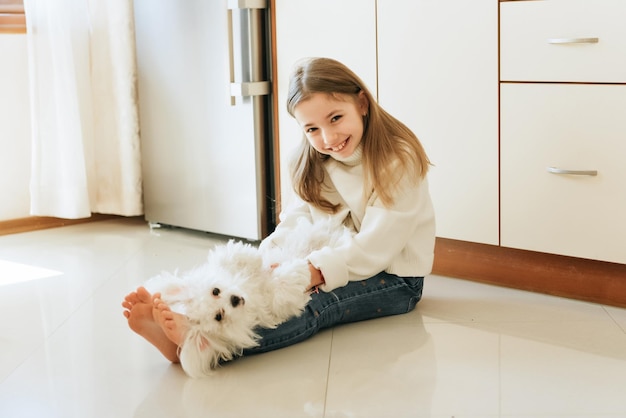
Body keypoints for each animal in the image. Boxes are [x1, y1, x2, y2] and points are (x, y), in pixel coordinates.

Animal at [143, 217, 354, 378]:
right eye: (219, 317)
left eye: (215, 291)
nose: (235, 300)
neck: (251, 294)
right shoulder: (277, 305)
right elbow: (283, 287)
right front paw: (298, 269)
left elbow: (235, 256)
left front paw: (253, 259)